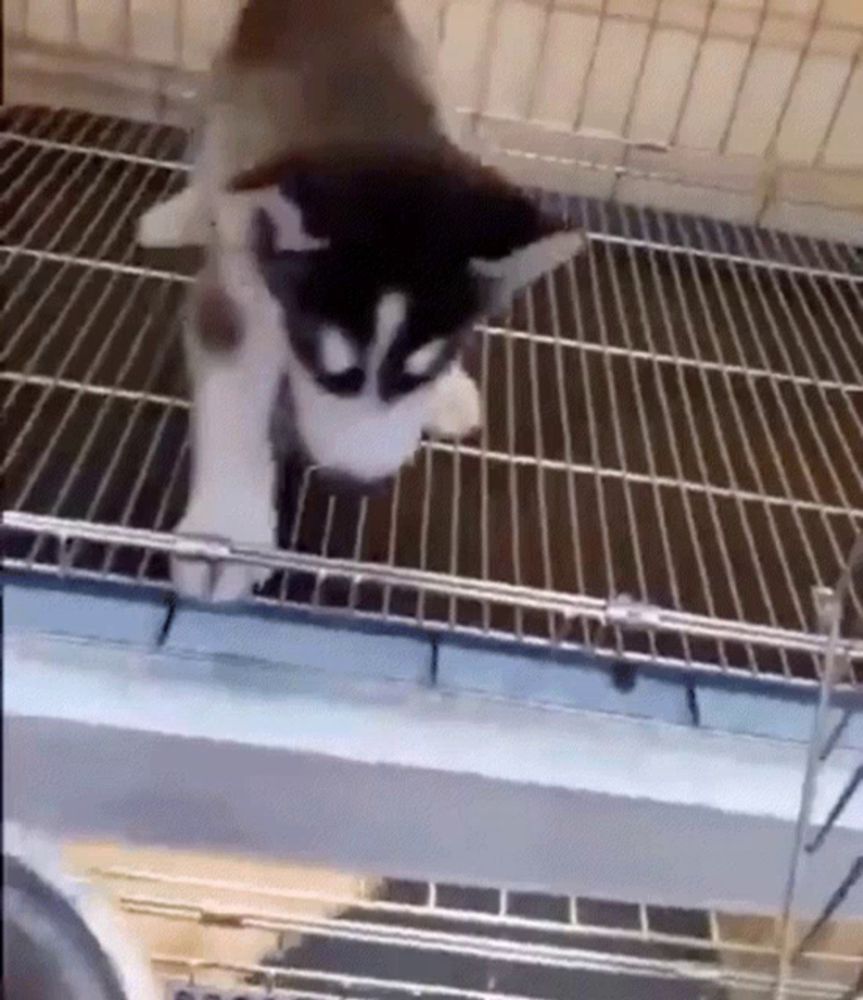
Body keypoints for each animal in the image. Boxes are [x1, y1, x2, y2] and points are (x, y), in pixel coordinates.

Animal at [140, 0, 588, 596]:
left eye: (419, 370)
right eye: (324, 364)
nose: (355, 477)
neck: (376, 131)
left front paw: (444, 385)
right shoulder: (238, 280)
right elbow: (234, 402)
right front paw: (223, 534)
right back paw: (182, 214)